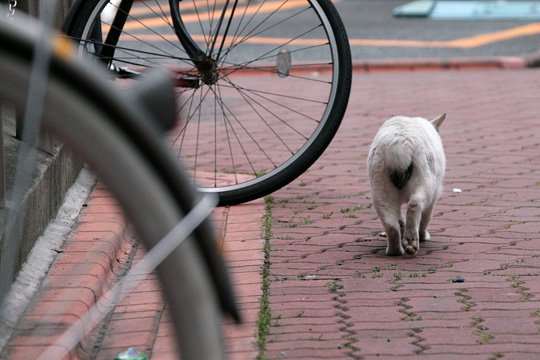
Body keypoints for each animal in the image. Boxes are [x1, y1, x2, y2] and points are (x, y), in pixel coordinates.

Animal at [368, 114, 448, 255]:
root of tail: (399, 145)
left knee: (390, 223)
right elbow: (425, 218)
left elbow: (399, 217)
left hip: (380, 187)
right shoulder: (434, 196)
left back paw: (395, 250)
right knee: (415, 205)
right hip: (426, 183)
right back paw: (411, 243)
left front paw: (402, 228)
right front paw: (423, 236)